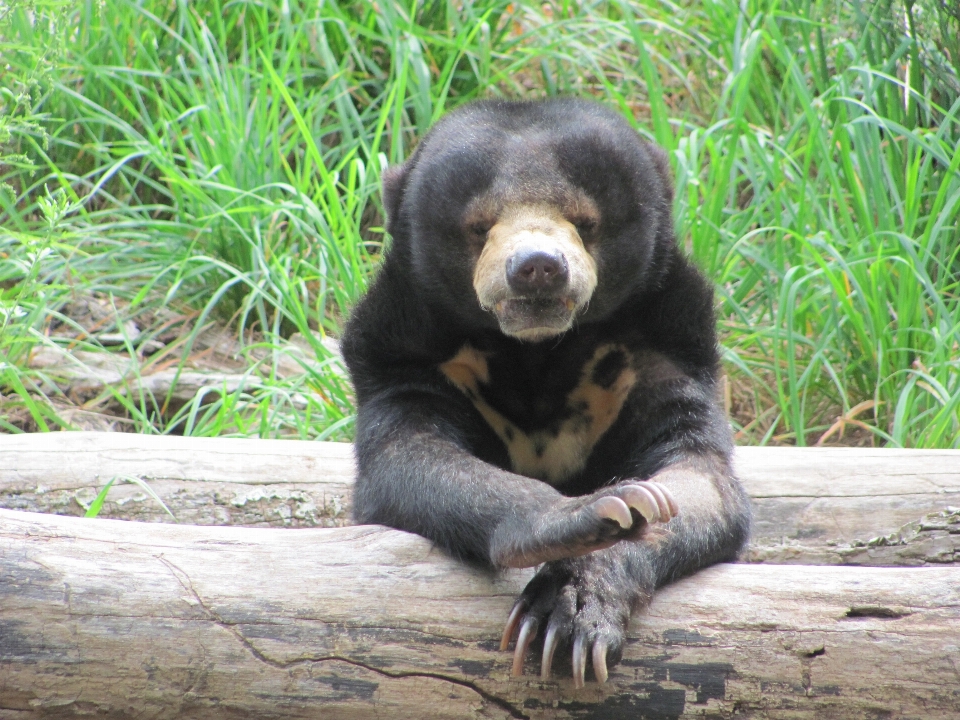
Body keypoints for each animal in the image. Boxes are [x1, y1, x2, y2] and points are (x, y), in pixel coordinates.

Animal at [342, 97, 752, 688]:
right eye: (479, 226)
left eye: (585, 222)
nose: (537, 268)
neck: (536, 353)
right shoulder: (406, 355)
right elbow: (409, 457)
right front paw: (590, 512)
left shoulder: (658, 350)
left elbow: (695, 479)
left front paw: (571, 607)